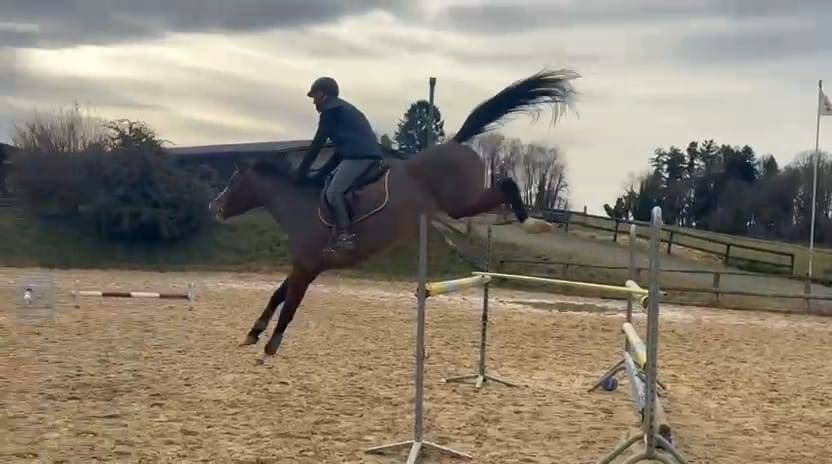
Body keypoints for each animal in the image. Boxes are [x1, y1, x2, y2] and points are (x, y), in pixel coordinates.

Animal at [209, 69, 579, 362]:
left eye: (235, 180)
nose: (216, 207)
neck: (298, 205)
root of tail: (454, 143)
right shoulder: (304, 266)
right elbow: (278, 295)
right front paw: (252, 334)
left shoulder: (306, 267)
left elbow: (290, 306)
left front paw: (270, 348)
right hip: (461, 204)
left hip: (460, 203)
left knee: (506, 185)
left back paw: (534, 223)